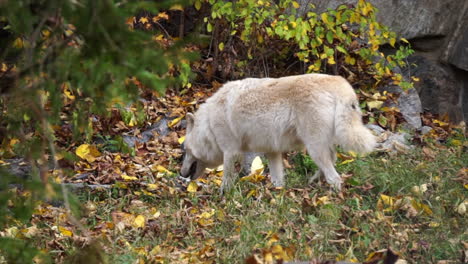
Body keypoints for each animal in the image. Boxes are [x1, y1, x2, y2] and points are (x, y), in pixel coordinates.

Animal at [179, 73, 376, 193]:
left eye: (186, 150)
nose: (181, 173)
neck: (209, 125)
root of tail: (340, 83)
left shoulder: (230, 152)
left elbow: (227, 179)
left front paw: (222, 197)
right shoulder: (272, 152)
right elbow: (277, 180)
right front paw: (277, 196)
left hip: (314, 148)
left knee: (334, 177)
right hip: (319, 148)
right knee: (331, 163)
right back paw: (312, 182)